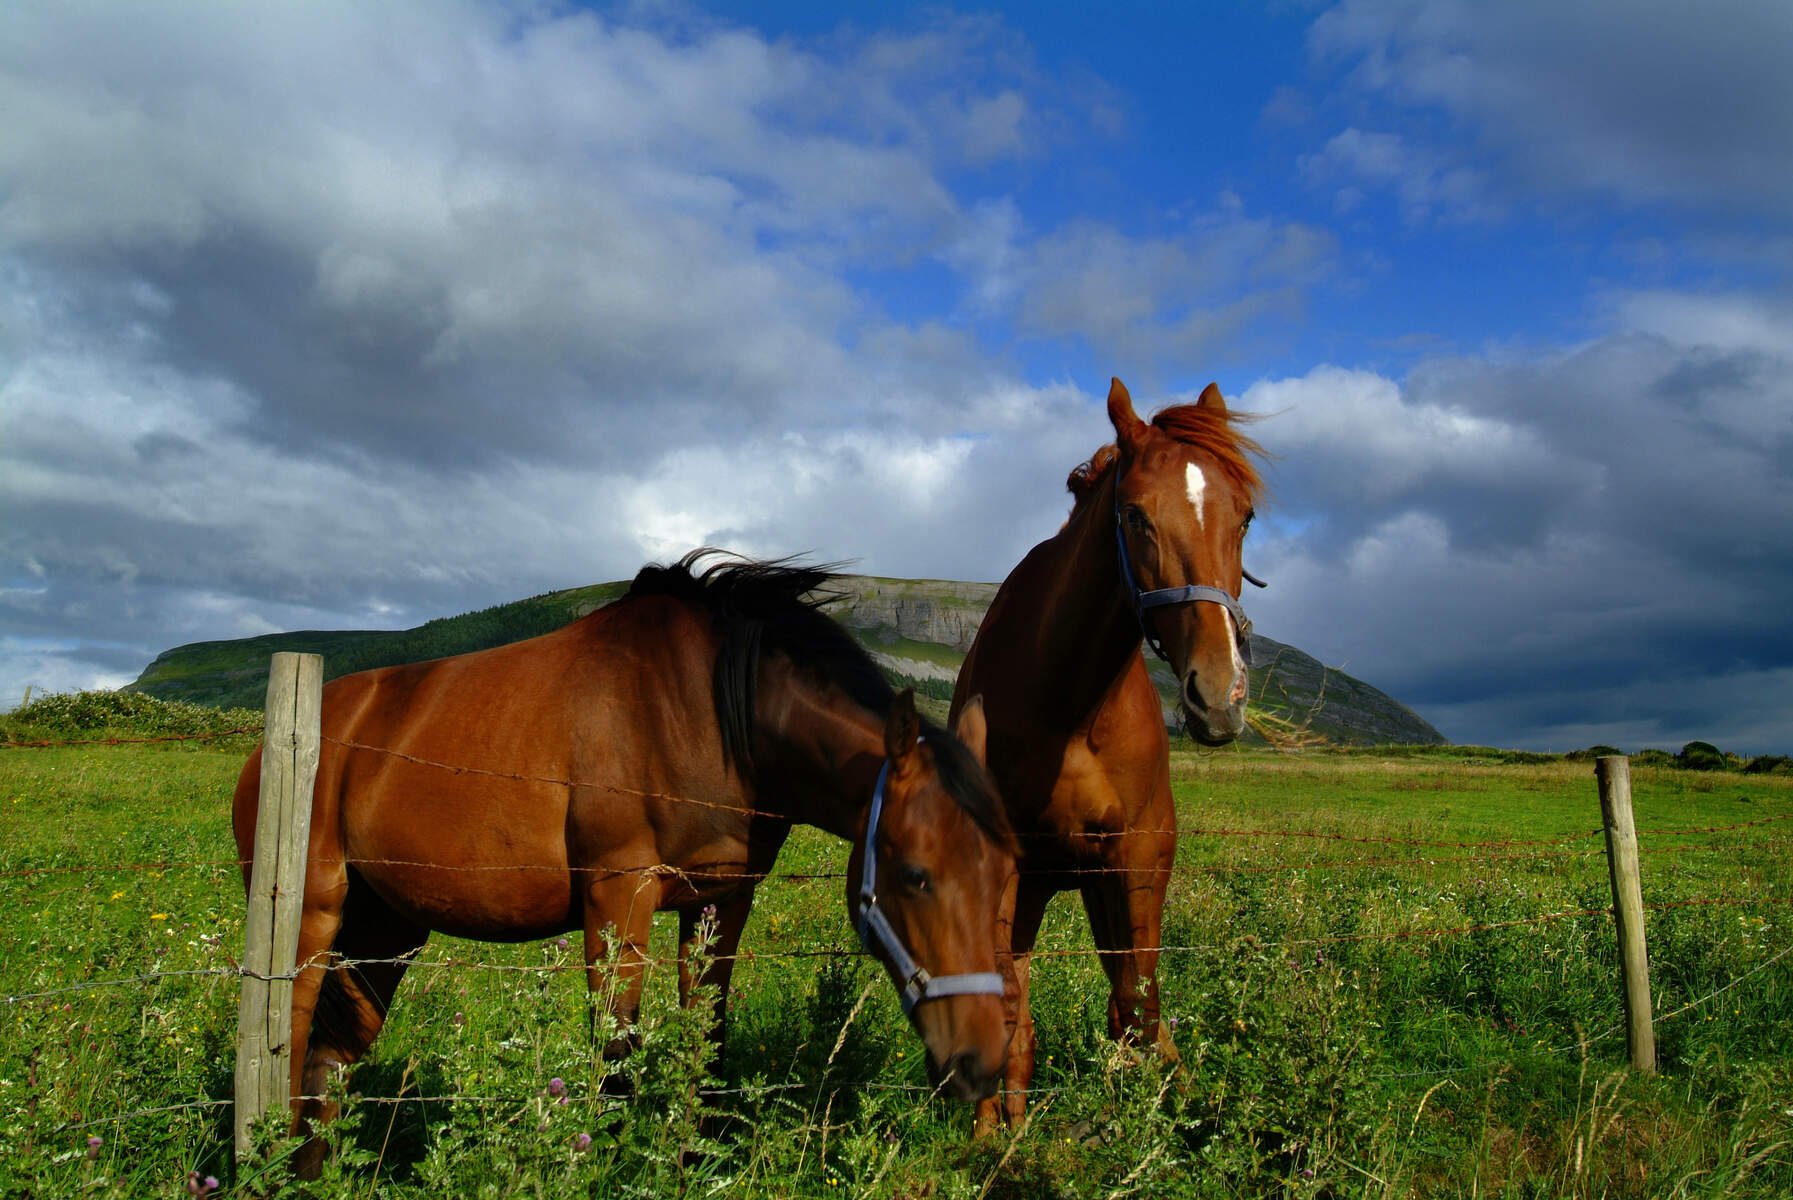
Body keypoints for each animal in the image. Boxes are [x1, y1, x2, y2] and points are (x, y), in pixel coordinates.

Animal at [236, 552, 1018, 1169]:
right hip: (312, 916)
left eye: (1007, 875)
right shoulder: (619, 893)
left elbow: (705, 1042)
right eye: (916, 875)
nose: (980, 1065)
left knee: (327, 1065)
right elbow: (616, 1059)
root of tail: (275, 743)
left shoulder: (721, 899)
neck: (714, 714)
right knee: (285, 1049)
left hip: (386, 931)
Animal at [946, 378, 1269, 1126]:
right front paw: (991, 1137)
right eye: (1134, 515)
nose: (1220, 694)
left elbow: (1137, 1005)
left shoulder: (1140, 856)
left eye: (1244, 518)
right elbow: (1008, 1006)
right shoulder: (1004, 866)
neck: (1070, 699)